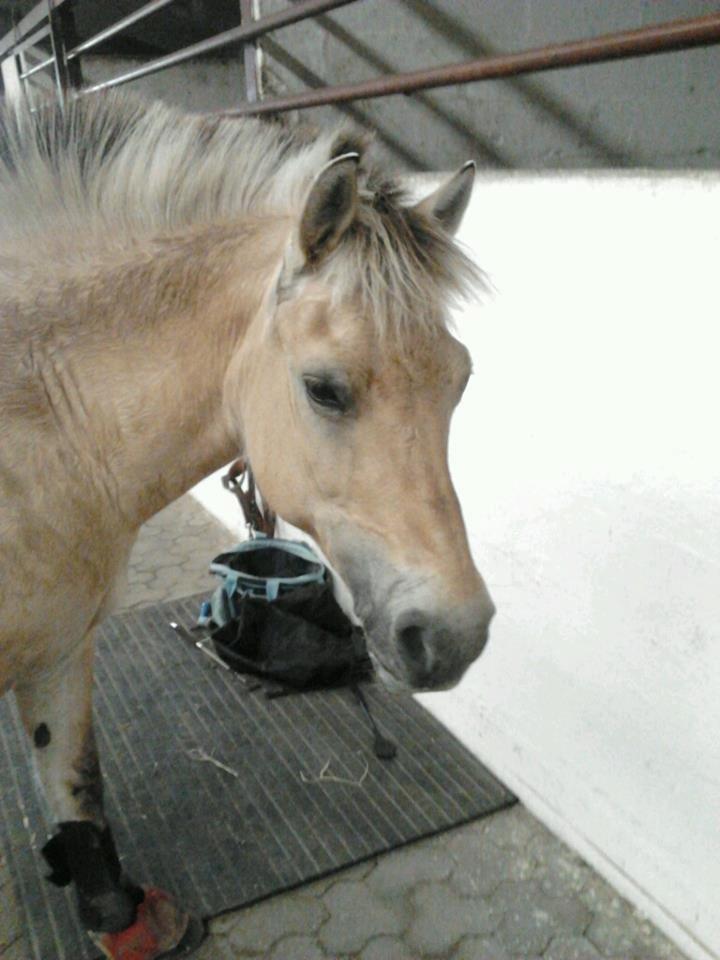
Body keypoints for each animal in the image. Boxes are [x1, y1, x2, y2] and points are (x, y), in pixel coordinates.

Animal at [0, 91, 495, 959]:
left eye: (460, 380)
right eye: (324, 389)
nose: (456, 635)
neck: (34, 412)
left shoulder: (58, 646)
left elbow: (78, 784)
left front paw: (121, 918)